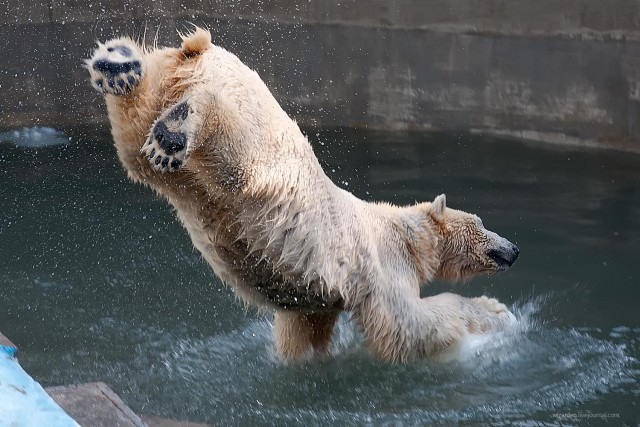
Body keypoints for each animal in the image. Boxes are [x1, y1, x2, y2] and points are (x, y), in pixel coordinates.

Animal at [85, 27, 516, 362]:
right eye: (481, 222)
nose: (513, 249)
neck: (405, 232)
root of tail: (203, 52)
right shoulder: (384, 263)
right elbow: (409, 326)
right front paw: (497, 314)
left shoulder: (316, 302)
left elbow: (303, 333)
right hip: (255, 135)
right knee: (229, 142)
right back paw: (174, 129)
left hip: (170, 92)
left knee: (135, 129)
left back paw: (118, 65)